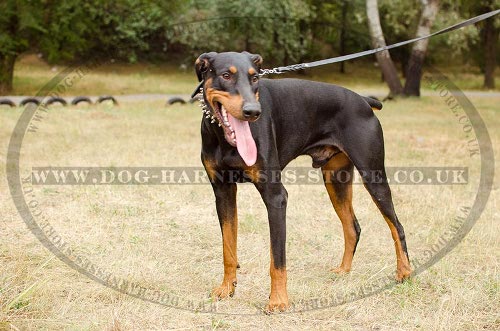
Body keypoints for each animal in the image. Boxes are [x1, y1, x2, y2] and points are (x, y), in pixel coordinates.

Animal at [194, 50, 410, 312]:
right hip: (335, 179)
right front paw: (227, 288)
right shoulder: (223, 192)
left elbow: (277, 258)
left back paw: (404, 272)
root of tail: (363, 101)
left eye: (255, 78)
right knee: (353, 227)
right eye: (226, 75)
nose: (253, 111)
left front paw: (278, 301)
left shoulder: (275, 197)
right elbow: (228, 247)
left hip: (373, 175)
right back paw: (343, 270)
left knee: (396, 225)